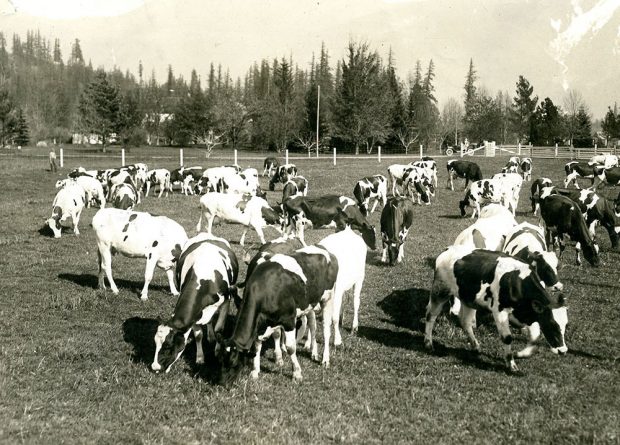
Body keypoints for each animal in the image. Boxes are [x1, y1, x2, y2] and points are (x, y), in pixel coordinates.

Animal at [151, 234, 239, 372]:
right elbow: (198, 335)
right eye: (155, 343)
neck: (205, 278)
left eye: (168, 346)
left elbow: (219, 329)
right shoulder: (195, 314)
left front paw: (217, 351)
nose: (154, 366)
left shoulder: (226, 302)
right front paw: (200, 358)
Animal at [216, 243, 336, 382]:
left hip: (328, 298)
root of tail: (323, 249)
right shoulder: (264, 322)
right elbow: (258, 344)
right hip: (310, 303)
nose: (221, 382)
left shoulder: (289, 320)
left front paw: (297, 373)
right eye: (219, 361)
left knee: (324, 329)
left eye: (234, 363)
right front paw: (255, 371)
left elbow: (291, 348)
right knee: (312, 323)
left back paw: (324, 359)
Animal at [426, 246, 568, 372]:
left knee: (465, 322)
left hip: (469, 299)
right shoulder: (500, 311)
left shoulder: (529, 314)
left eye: (565, 325)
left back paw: (475, 345)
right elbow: (507, 337)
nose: (563, 350)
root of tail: (447, 250)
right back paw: (428, 343)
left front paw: (521, 354)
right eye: (552, 324)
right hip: (440, 291)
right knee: (430, 316)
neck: (517, 281)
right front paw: (511, 364)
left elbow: (535, 338)